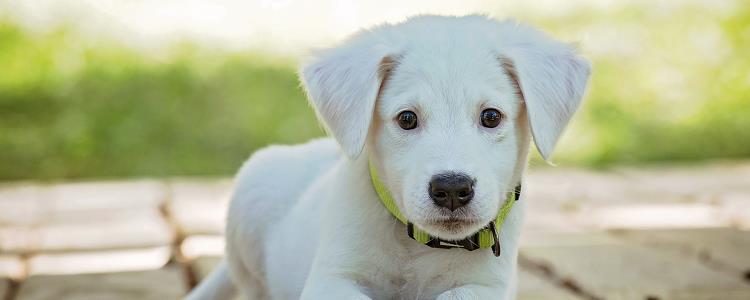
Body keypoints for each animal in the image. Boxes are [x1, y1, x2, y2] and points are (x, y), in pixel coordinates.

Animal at [188, 15, 592, 300]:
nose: (451, 189)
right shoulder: (332, 278)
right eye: (407, 119)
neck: (418, 247)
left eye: (491, 116)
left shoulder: (487, 287)